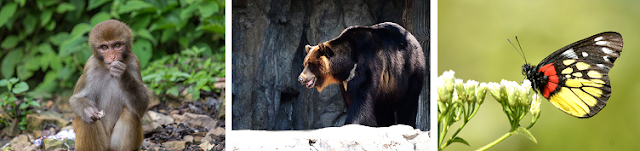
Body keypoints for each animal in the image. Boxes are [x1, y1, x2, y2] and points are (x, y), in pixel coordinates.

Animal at [70, 19, 150, 151]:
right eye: (104, 47)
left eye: (117, 45)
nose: (112, 57)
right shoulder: (90, 66)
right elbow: (77, 99)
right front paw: (88, 111)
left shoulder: (134, 61)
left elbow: (142, 105)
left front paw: (123, 74)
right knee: (85, 120)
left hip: (115, 145)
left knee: (130, 112)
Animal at [298, 21, 428, 127]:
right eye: (305, 63)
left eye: (310, 64)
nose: (301, 78)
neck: (347, 65)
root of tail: (414, 39)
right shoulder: (346, 80)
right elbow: (350, 98)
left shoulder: (366, 64)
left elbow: (361, 98)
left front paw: (351, 122)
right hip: (387, 86)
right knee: (383, 108)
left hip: (409, 71)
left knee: (407, 103)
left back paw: (406, 123)